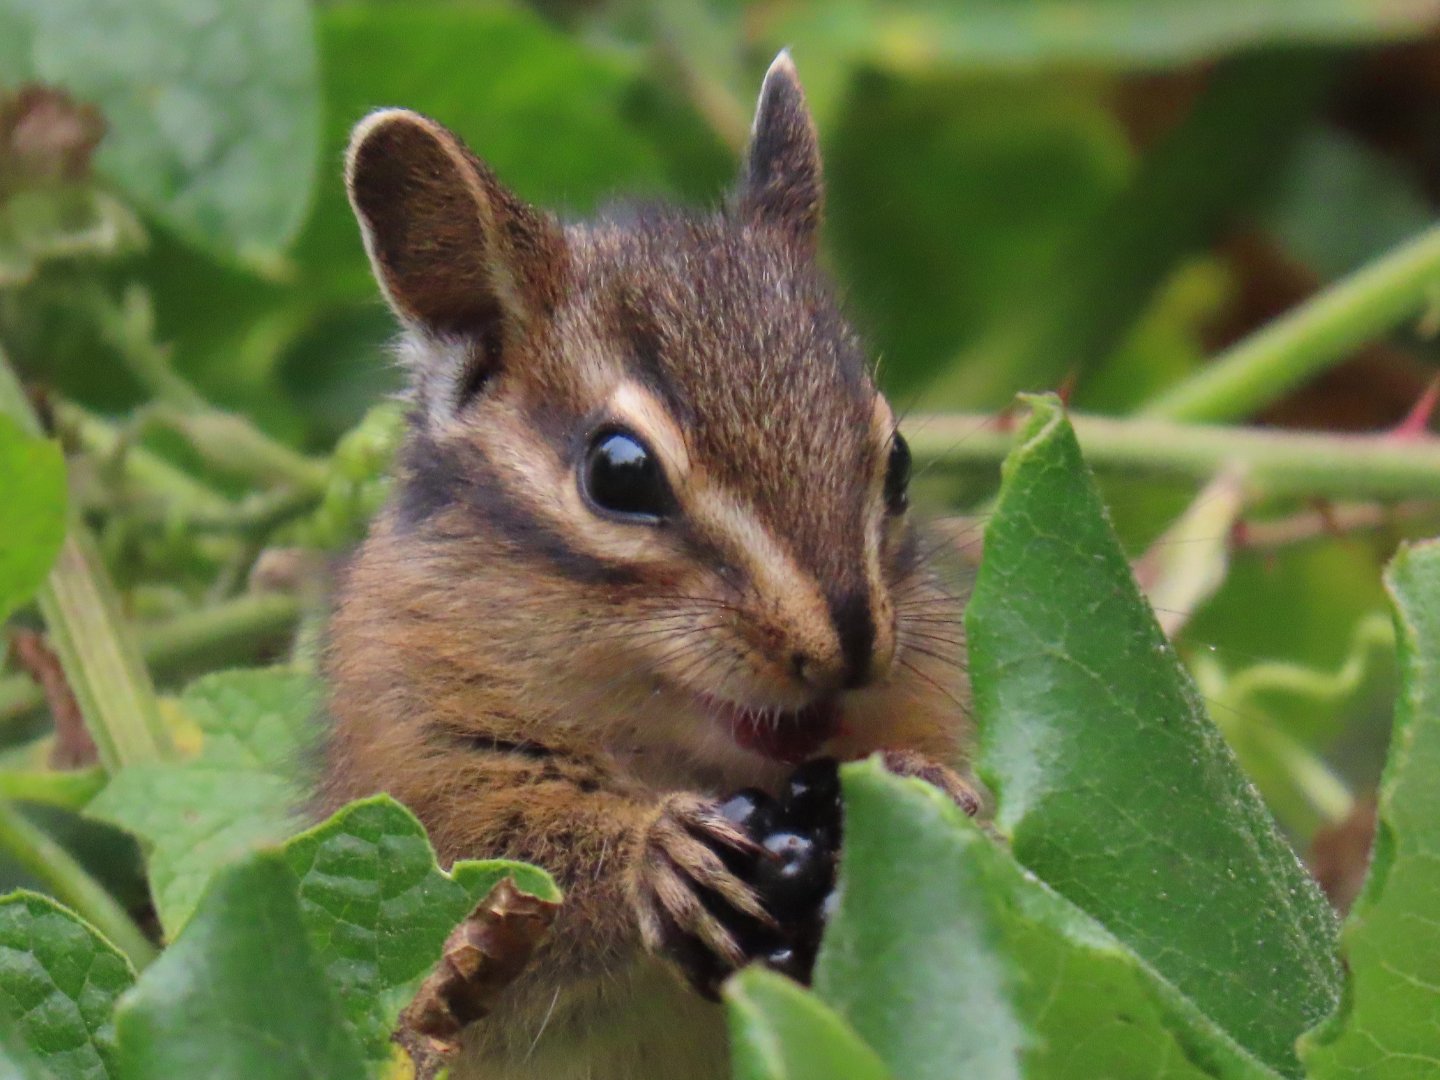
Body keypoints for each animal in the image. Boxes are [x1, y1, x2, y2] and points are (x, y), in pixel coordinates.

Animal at [320, 52, 974, 1080]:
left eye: (899, 458)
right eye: (618, 473)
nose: (850, 645)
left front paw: (935, 784)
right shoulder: (411, 755)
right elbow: (494, 849)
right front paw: (656, 852)